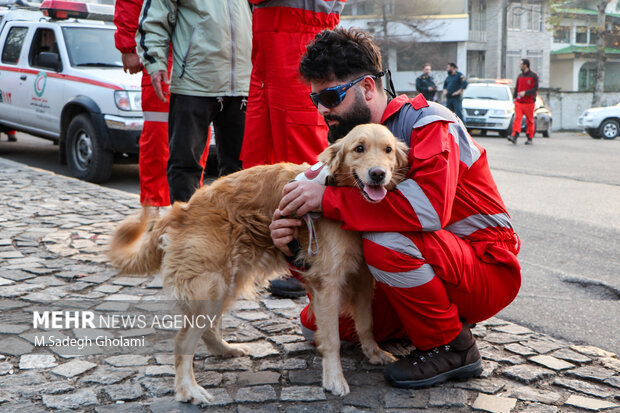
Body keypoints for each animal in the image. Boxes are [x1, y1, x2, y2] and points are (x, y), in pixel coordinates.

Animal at [109, 124, 410, 404]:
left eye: (388, 150)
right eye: (359, 148)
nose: (378, 174)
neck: (338, 193)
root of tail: (180, 209)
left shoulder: (362, 279)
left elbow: (367, 323)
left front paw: (374, 353)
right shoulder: (328, 284)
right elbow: (332, 339)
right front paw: (334, 379)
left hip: (225, 286)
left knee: (208, 330)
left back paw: (227, 350)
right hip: (211, 289)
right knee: (183, 341)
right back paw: (188, 391)